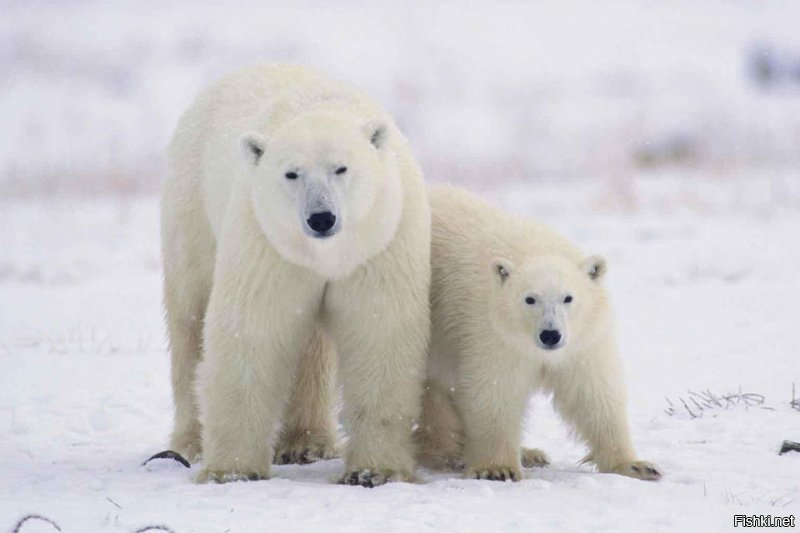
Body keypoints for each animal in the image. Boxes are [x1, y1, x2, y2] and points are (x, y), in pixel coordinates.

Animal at [159, 64, 428, 484]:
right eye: (291, 174)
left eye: (341, 168)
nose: (321, 218)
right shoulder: (267, 240)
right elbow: (254, 327)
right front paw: (233, 471)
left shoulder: (380, 240)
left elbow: (379, 330)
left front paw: (373, 471)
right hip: (191, 208)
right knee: (190, 317)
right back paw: (191, 442)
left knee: (311, 347)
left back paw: (307, 443)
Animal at [416, 187, 660, 482]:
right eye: (529, 299)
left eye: (568, 297)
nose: (550, 335)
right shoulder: (492, 333)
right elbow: (496, 390)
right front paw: (498, 468)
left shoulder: (584, 340)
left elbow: (593, 392)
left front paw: (636, 465)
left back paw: (530, 453)